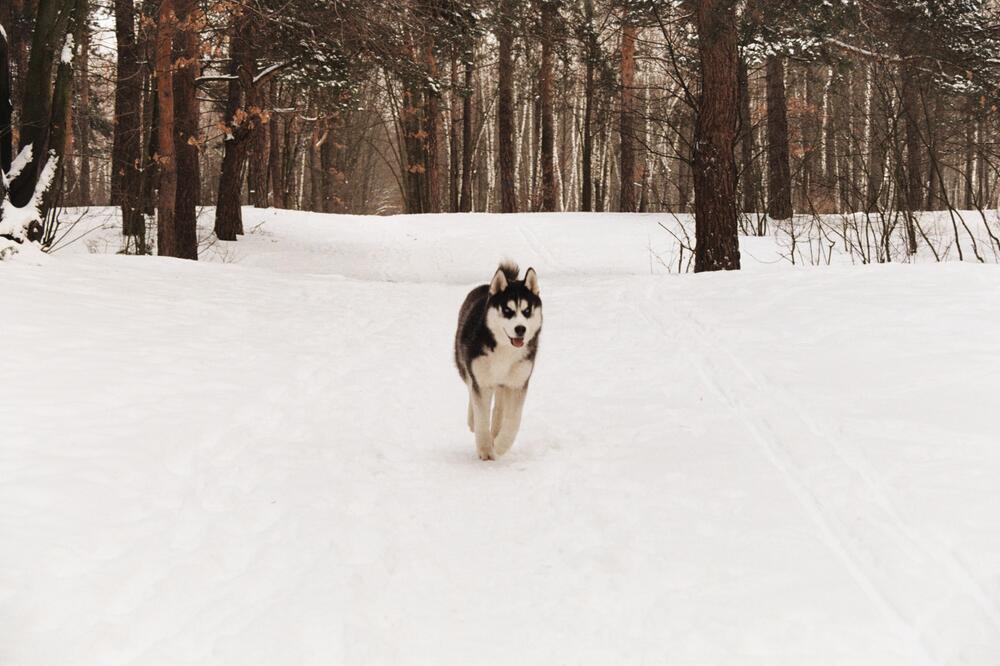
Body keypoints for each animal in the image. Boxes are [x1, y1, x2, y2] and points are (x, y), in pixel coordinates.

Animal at [458, 262, 544, 460]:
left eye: (527, 311)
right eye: (507, 310)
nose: (520, 329)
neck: (505, 350)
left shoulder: (519, 382)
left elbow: (513, 420)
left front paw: (500, 446)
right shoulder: (481, 380)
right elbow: (481, 415)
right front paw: (485, 448)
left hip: (504, 382)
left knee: (500, 404)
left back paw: (496, 430)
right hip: (464, 365)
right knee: (471, 390)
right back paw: (473, 421)